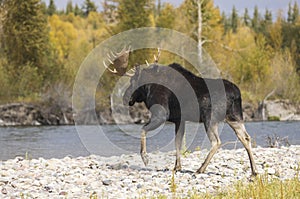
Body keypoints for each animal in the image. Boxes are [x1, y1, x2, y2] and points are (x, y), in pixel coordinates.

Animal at [103, 46, 258, 176]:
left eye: (132, 82)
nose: (125, 98)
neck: (148, 88)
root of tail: (236, 94)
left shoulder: (161, 114)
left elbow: (142, 130)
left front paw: (145, 158)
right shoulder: (179, 120)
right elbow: (177, 142)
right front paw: (176, 167)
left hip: (209, 118)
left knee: (216, 142)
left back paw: (200, 169)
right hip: (234, 117)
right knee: (245, 137)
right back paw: (254, 171)